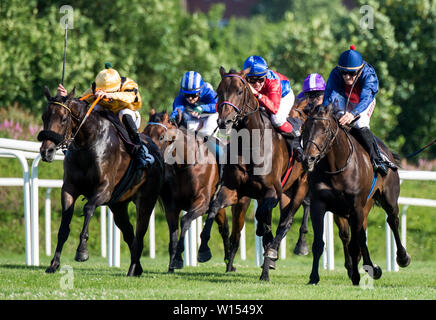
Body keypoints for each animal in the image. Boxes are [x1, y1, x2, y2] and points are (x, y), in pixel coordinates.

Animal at [38, 86, 162, 276]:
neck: (88, 142)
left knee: (140, 234)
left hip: (146, 201)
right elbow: (63, 227)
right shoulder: (69, 189)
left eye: (63, 118)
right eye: (44, 117)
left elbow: (88, 208)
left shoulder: (104, 190)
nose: (46, 151)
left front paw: (82, 251)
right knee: (129, 233)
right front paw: (54, 264)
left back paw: (132, 268)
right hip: (118, 206)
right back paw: (137, 268)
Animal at [145, 110, 250, 272]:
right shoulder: (171, 207)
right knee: (224, 229)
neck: (184, 165)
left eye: (161, 136)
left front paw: (179, 258)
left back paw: (228, 263)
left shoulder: (202, 203)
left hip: (241, 204)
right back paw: (227, 262)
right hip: (219, 206)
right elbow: (173, 234)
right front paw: (172, 265)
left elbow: (185, 221)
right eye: (144, 133)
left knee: (236, 234)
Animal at [201, 67, 310, 280]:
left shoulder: (272, 192)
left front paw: (268, 254)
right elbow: (214, 207)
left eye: (239, 91)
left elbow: (263, 217)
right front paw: (203, 248)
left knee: (286, 221)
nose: (224, 121)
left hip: (300, 187)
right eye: (219, 92)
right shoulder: (233, 189)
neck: (250, 144)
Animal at [302, 103, 410, 284]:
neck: (336, 168)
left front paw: (355, 276)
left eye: (324, 129)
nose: (307, 159)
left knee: (392, 220)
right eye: (305, 128)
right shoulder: (319, 205)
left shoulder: (356, 207)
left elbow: (354, 245)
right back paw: (371, 267)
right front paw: (313, 277)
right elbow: (318, 243)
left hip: (387, 199)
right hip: (358, 209)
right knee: (359, 235)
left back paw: (402, 258)